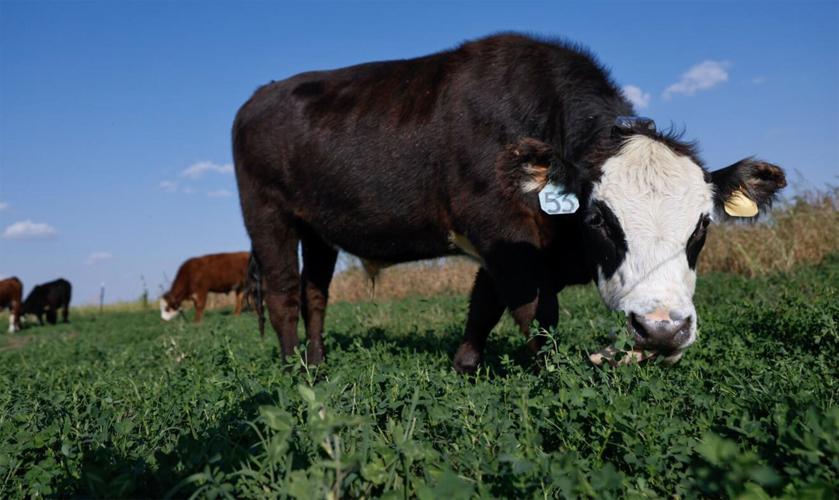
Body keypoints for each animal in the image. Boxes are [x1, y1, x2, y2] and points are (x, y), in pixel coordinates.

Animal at [233, 33, 786, 372]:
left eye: (702, 225)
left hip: (317, 229)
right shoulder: (500, 228)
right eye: (599, 219)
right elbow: (535, 314)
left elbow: (483, 304)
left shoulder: (506, 244)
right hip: (267, 215)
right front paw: (552, 377)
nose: (662, 328)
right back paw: (293, 372)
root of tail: (262, 94)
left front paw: (464, 366)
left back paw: (318, 364)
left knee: (315, 294)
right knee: (284, 294)